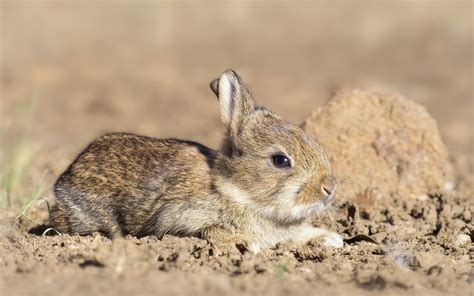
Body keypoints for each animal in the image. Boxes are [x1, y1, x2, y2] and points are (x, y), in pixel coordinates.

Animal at [50, 69, 342, 252]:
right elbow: (211, 231)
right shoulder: (181, 219)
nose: (329, 188)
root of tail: (62, 183)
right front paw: (248, 244)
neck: (233, 190)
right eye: (280, 160)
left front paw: (332, 239)